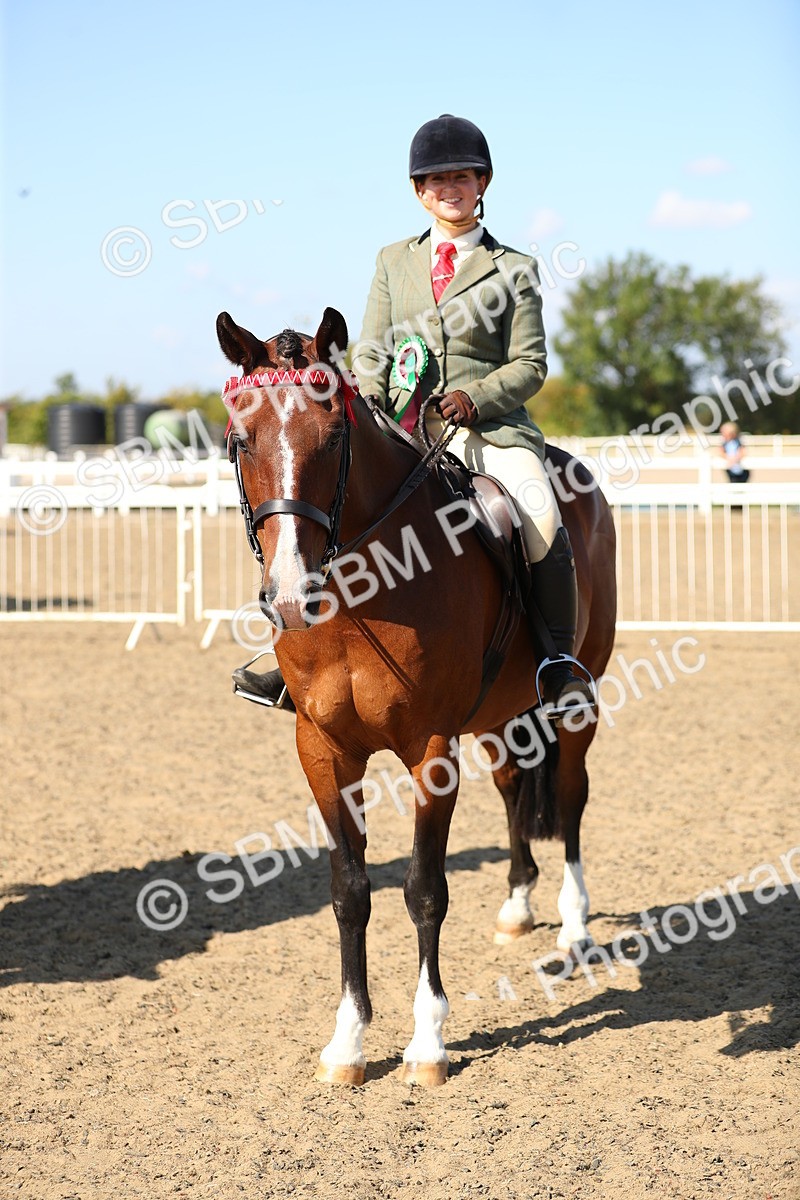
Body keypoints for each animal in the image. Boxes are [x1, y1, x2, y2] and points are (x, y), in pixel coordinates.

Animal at [217, 306, 617, 1086]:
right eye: (241, 441)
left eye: (333, 439)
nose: (291, 595)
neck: (359, 596)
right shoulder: (322, 751)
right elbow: (349, 892)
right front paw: (346, 1042)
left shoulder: (431, 751)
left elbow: (425, 889)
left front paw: (427, 1042)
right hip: (496, 717)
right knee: (513, 786)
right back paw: (518, 904)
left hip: (575, 701)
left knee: (572, 797)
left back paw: (574, 923)